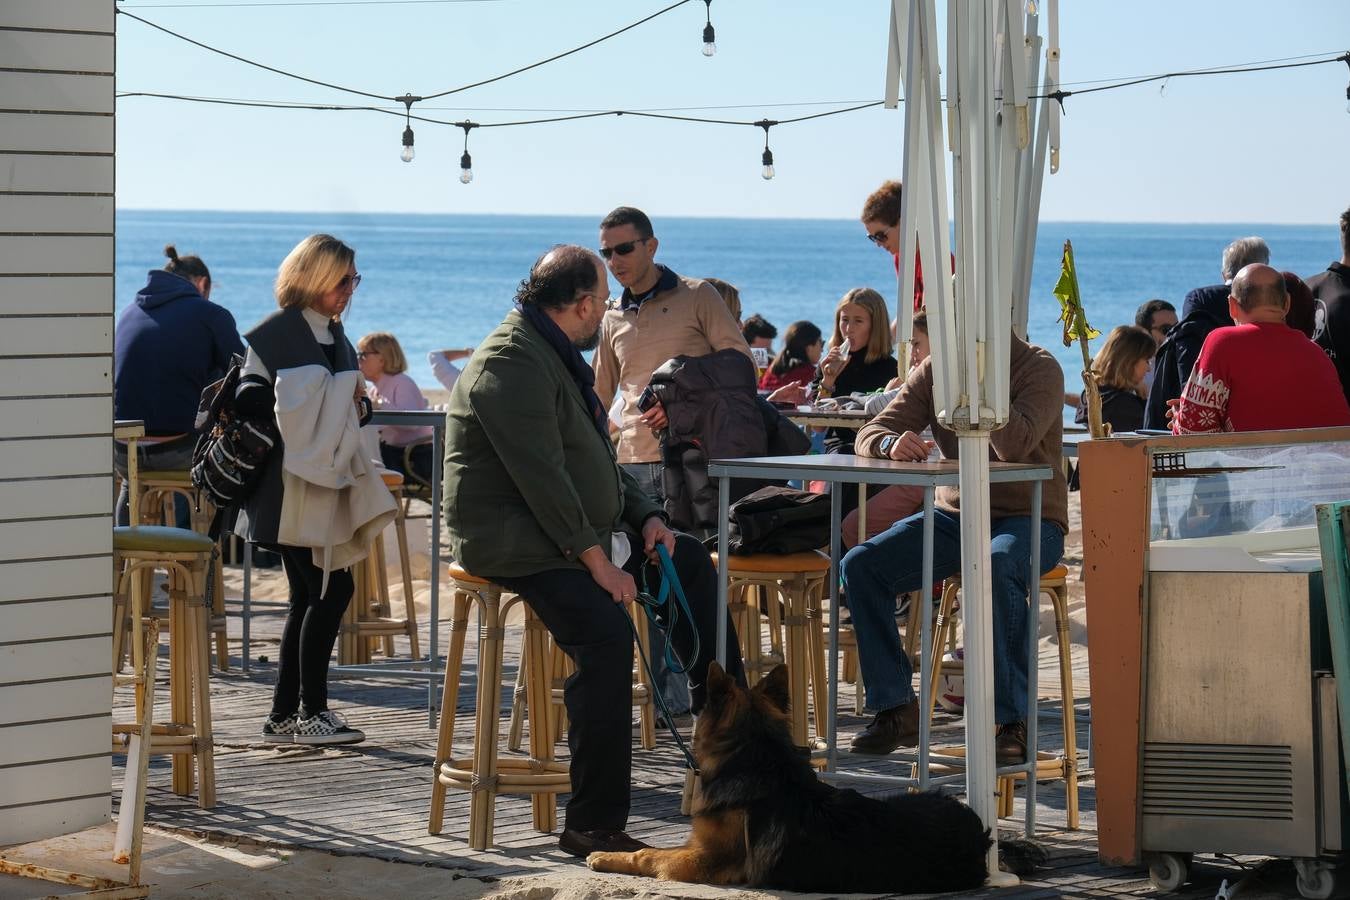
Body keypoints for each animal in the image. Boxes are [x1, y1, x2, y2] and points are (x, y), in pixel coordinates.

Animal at [591, 661, 993, 895]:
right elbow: (654, 849)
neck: (756, 751)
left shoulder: (705, 859)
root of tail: (978, 835)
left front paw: (604, 856)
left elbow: (648, 854)